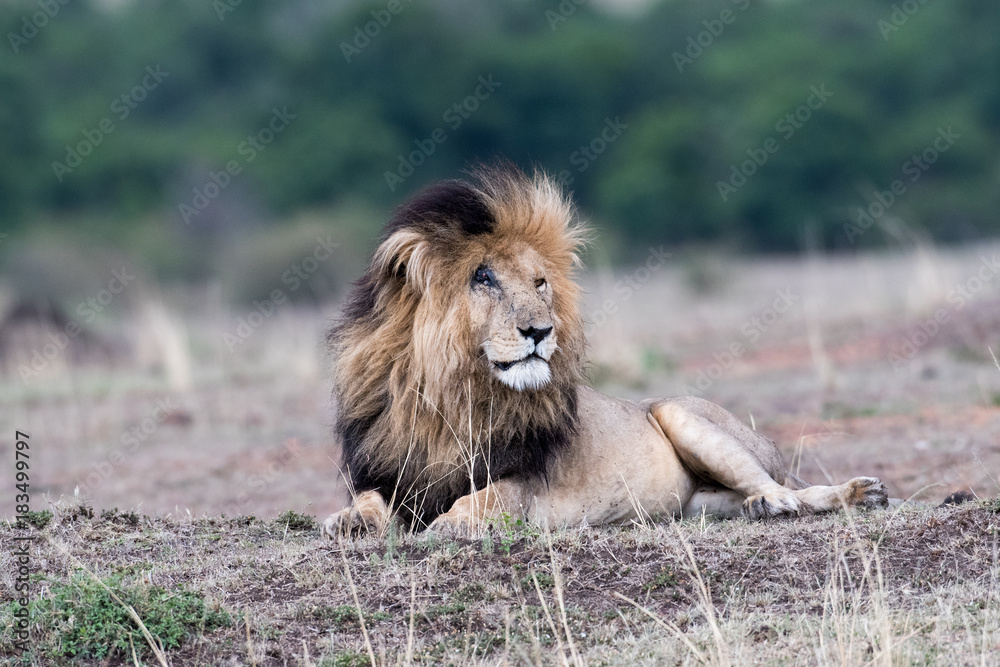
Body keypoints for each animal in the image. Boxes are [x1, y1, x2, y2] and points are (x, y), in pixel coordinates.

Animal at [322, 166, 888, 539]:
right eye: (483, 278)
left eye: (540, 282)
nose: (540, 330)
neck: (448, 395)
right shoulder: (387, 470)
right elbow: (369, 499)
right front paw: (348, 520)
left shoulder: (527, 480)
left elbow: (486, 496)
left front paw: (451, 523)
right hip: (696, 505)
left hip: (682, 413)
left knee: (790, 488)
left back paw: (828, 496)